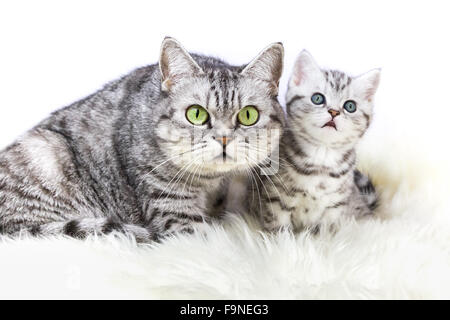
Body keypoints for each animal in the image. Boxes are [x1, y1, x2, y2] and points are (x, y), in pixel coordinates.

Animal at [0, 37, 284, 241]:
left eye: (248, 115)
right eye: (196, 114)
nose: (224, 139)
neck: (211, 182)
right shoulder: (173, 211)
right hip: (45, 152)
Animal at [251, 50, 378, 232]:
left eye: (350, 106)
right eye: (318, 98)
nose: (334, 112)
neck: (321, 158)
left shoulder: (335, 206)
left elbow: (327, 231)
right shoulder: (275, 198)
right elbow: (279, 228)